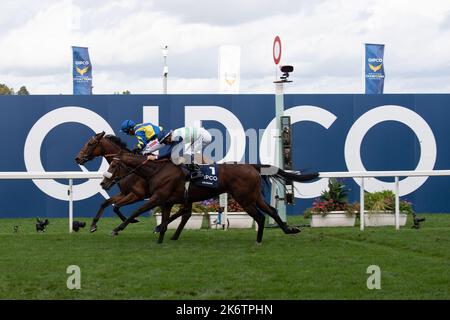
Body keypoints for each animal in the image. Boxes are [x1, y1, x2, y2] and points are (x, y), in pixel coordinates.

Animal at [101, 153, 320, 245]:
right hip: (253, 196)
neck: (157, 170)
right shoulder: (167, 201)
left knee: (260, 217)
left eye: (113, 166)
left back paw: (258, 240)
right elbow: (164, 222)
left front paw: (116, 229)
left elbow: (137, 211)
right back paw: (289, 230)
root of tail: (252, 166)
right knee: (272, 211)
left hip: (245, 198)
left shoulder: (157, 197)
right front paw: (161, 239)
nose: (103, 183)